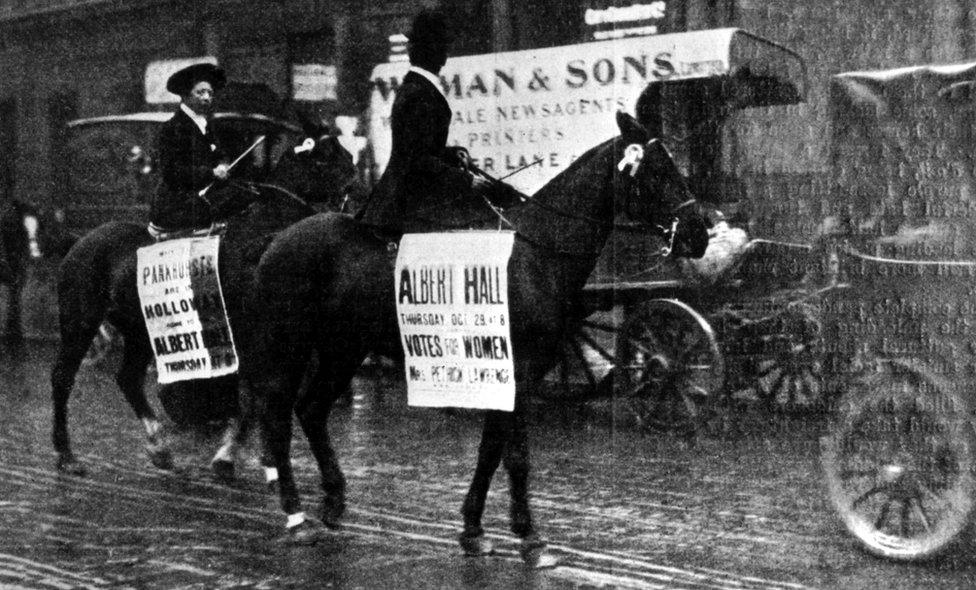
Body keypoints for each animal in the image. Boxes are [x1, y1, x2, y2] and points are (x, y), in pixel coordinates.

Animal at [49, 133, 354, 476]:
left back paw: (159, 448)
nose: (355, 189)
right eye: (329, 157)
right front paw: (227, 456)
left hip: (140, 332)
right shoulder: (249, 338)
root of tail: (80, 241)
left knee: (128, 379)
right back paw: (66, 455)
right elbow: (251, 398)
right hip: (80, 321)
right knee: (63, 377)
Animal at [242, 113, 708, 568]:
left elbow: (490, 451)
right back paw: (296, 517)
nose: (700, 233)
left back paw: (334, 500)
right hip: (289, 346)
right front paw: (531, 539)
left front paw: (473, 531)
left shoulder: (505, 375)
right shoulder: (518, 372)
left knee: (311, 409)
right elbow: (515, 457)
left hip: (344, 349)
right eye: (657, 172)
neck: (534, 253)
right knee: (278, 418)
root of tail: (277, 239)